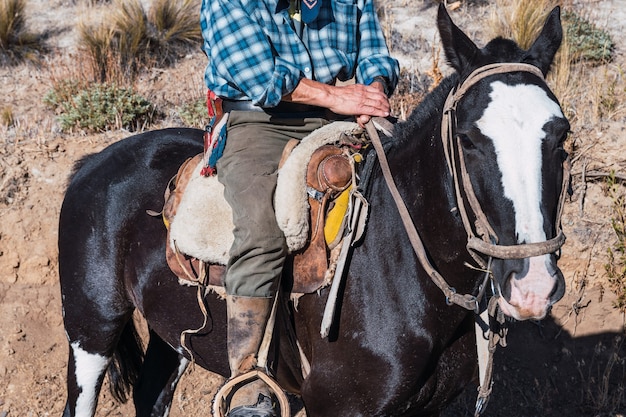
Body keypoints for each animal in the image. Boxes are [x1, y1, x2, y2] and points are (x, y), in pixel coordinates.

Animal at [61, 6, 568, 416]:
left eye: (561, 137)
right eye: (468, 139)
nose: (533, 287)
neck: (399, 271)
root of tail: (94, 162)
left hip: (173, 338)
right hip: (92, 331)